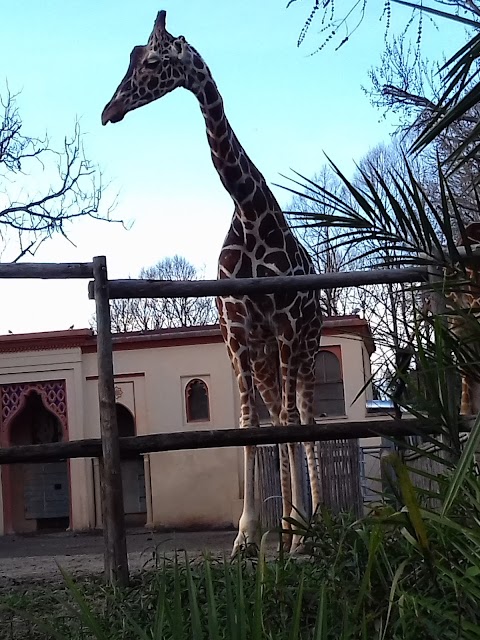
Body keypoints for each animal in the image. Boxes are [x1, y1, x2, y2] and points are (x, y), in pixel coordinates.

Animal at [102, 10, 322, 556]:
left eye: (152, 60)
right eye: (133, 55)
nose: (109, 109)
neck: (248, 210)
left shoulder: (285, 330)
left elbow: (288, 426)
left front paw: (294, 536)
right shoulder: (238, 337)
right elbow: (248, 425)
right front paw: (249, 536)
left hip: (306, 348)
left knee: (306, 422)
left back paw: (316, 525)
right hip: (268, 359)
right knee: (284, 418)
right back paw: (290, 527)